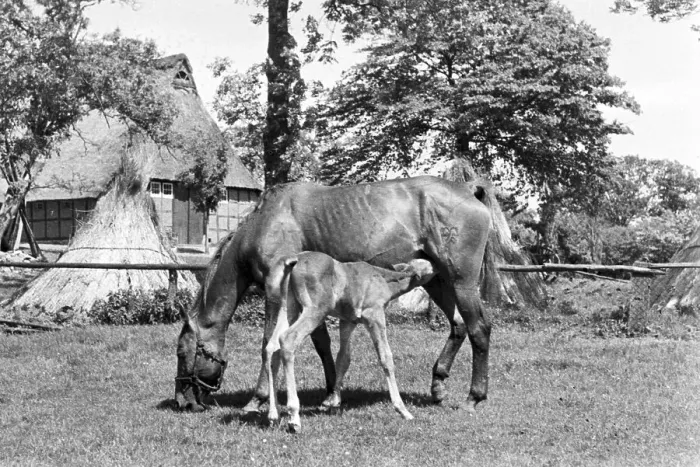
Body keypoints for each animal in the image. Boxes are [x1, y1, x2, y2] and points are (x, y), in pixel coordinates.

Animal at [265, 253, 437, 432]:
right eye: (428, 265)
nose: (437, 266)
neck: (385, 281)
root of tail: (292, 262)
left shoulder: (348, 320)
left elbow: (343, 358)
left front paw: (332, 400)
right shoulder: (374, 313)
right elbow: (386, 357)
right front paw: (403, 410)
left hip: (289, 306)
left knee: (272, 346)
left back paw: (273, 414)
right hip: (316, 308)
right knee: (287, 339)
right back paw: (294, 418)